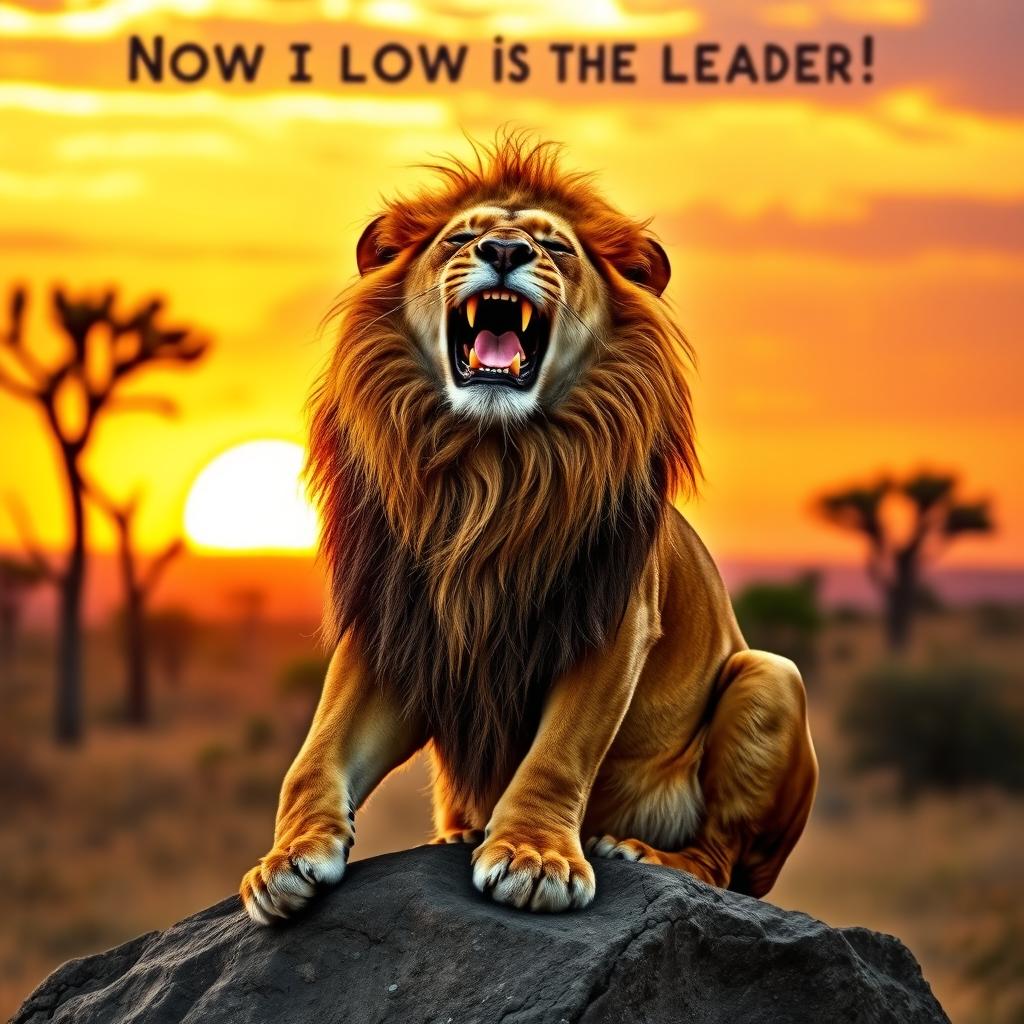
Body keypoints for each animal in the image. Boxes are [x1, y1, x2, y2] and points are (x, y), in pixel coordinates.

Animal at [240, 134, 818, 922]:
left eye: (556, 248)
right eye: (460, 239)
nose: (505, 250)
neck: (490, 469)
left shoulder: (612, 618)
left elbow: (558, 753)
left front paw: (533, 858)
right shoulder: (395, 623)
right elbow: (319, 748)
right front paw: (288, 857)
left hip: (771, 678)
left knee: (722, 861)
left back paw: (644, 851)